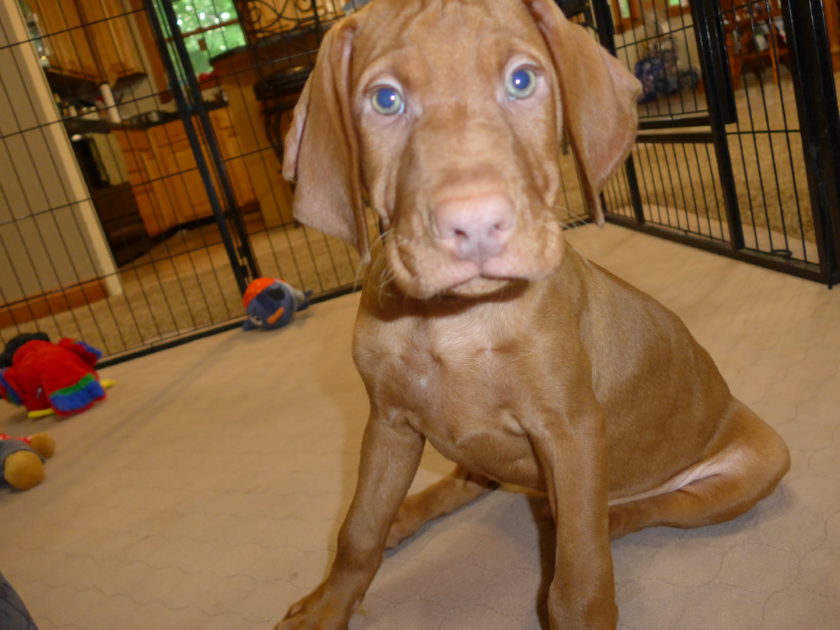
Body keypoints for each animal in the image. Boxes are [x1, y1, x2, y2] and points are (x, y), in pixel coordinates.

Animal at [275, 0, 791, 627]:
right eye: (385, 99)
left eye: (522, 80)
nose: (476, 224)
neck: (454, 322)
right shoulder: (388, 424)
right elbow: (357, 533)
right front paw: (328, 607)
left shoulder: (571, 432)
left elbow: (579, 579)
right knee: (469, 479)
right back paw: (408, 513)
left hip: (760, 462)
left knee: (654, 508)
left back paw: (607, 517)